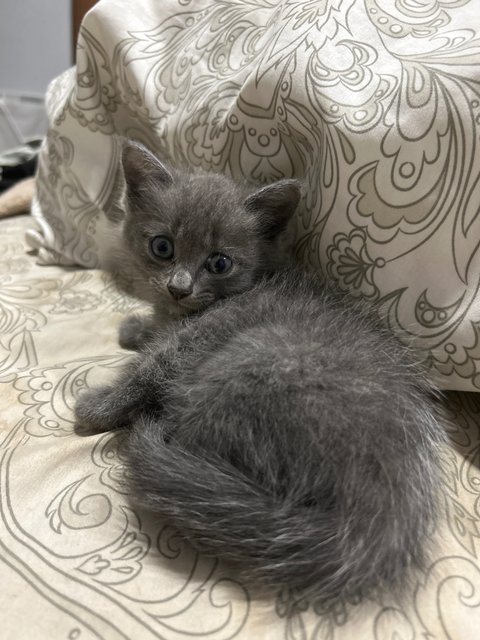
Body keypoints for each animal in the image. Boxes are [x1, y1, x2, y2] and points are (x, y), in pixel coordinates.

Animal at [75, 140, 446, 600]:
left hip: (239, 372)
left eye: (219, 264)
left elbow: (149, 370)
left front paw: (97, 407)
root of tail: (370, 521)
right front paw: (137, 328)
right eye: (162, 247)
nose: (179, 287)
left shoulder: (199, 339)